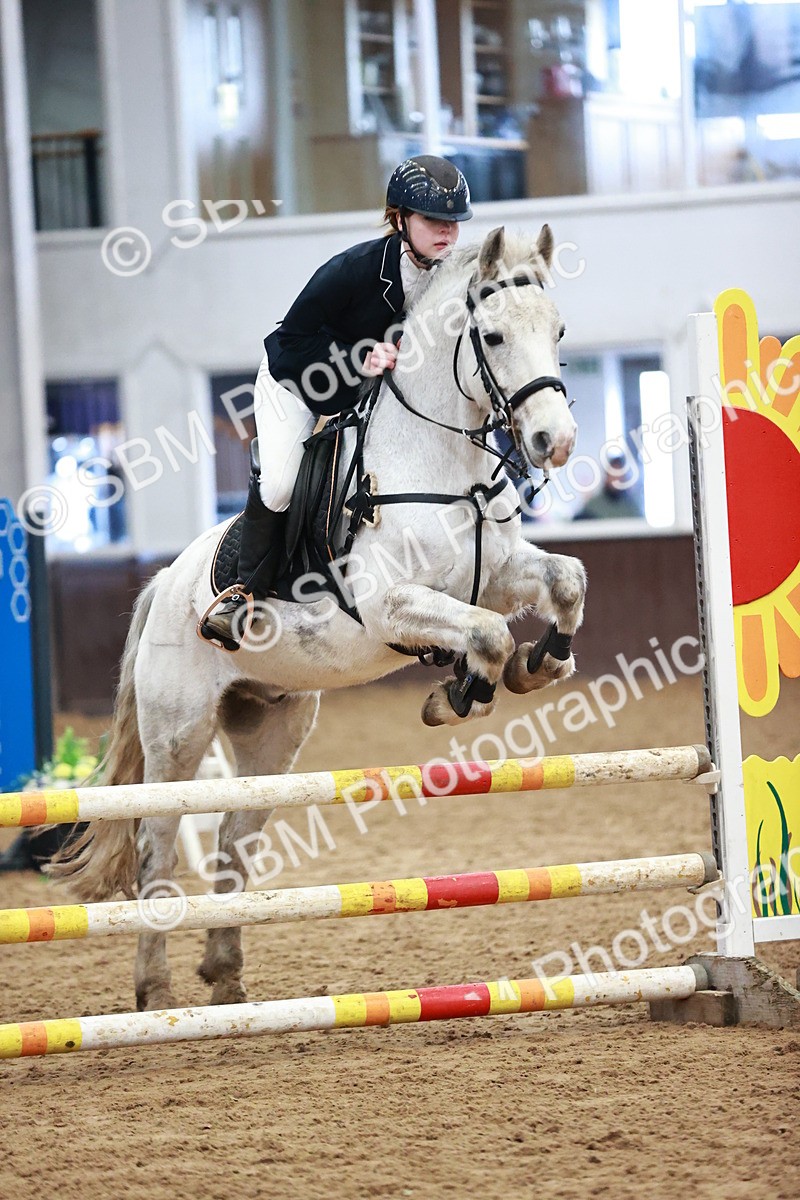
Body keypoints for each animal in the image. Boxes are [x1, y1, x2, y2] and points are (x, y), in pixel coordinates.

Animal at [54, 225, 586, 1011]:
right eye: (491, 336)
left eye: (557, 331)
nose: (556, 442)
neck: (438, 463)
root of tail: (163, 584)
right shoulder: (391, 606)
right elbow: (486, 634)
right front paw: (458, 694)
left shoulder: (496, 575)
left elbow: (565, 582)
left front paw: (537, 663)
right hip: (177, 734)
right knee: (157, 843)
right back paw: (154, 989)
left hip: (271, 730)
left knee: (233, 840)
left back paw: (227, 977)